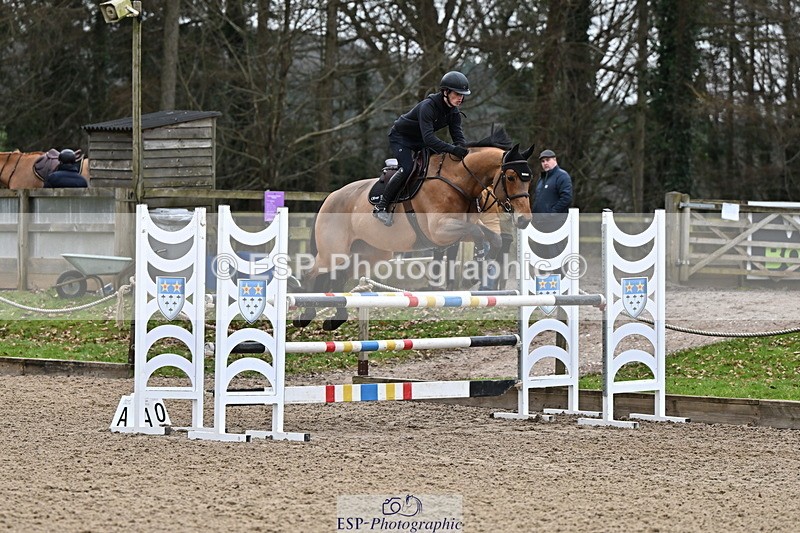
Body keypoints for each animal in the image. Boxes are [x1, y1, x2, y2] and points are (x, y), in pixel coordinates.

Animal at [294, 127, 536, 330]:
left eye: (529, 179)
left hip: (367, 254)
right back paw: (305, 314)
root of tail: (330, 198)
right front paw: (474, 266)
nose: (524, 220)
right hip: (333, 252)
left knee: (339, 278)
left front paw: (475, 271)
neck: (458, 181)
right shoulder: (440, 231)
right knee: (311, 274)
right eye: (511, 177)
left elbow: (493, 239)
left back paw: (335, 319)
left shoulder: (462, 228)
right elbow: (479, 235)